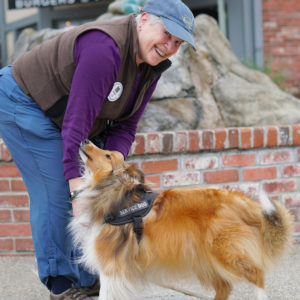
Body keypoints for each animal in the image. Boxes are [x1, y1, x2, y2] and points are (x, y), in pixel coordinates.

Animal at [69, 139, 292, 298]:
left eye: (107, 154)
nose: (85, 140)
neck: (113, 188)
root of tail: (242, 201)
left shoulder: (110, 264)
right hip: (204, 259)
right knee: (225, 287)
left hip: (226, 251)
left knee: (258, 275)